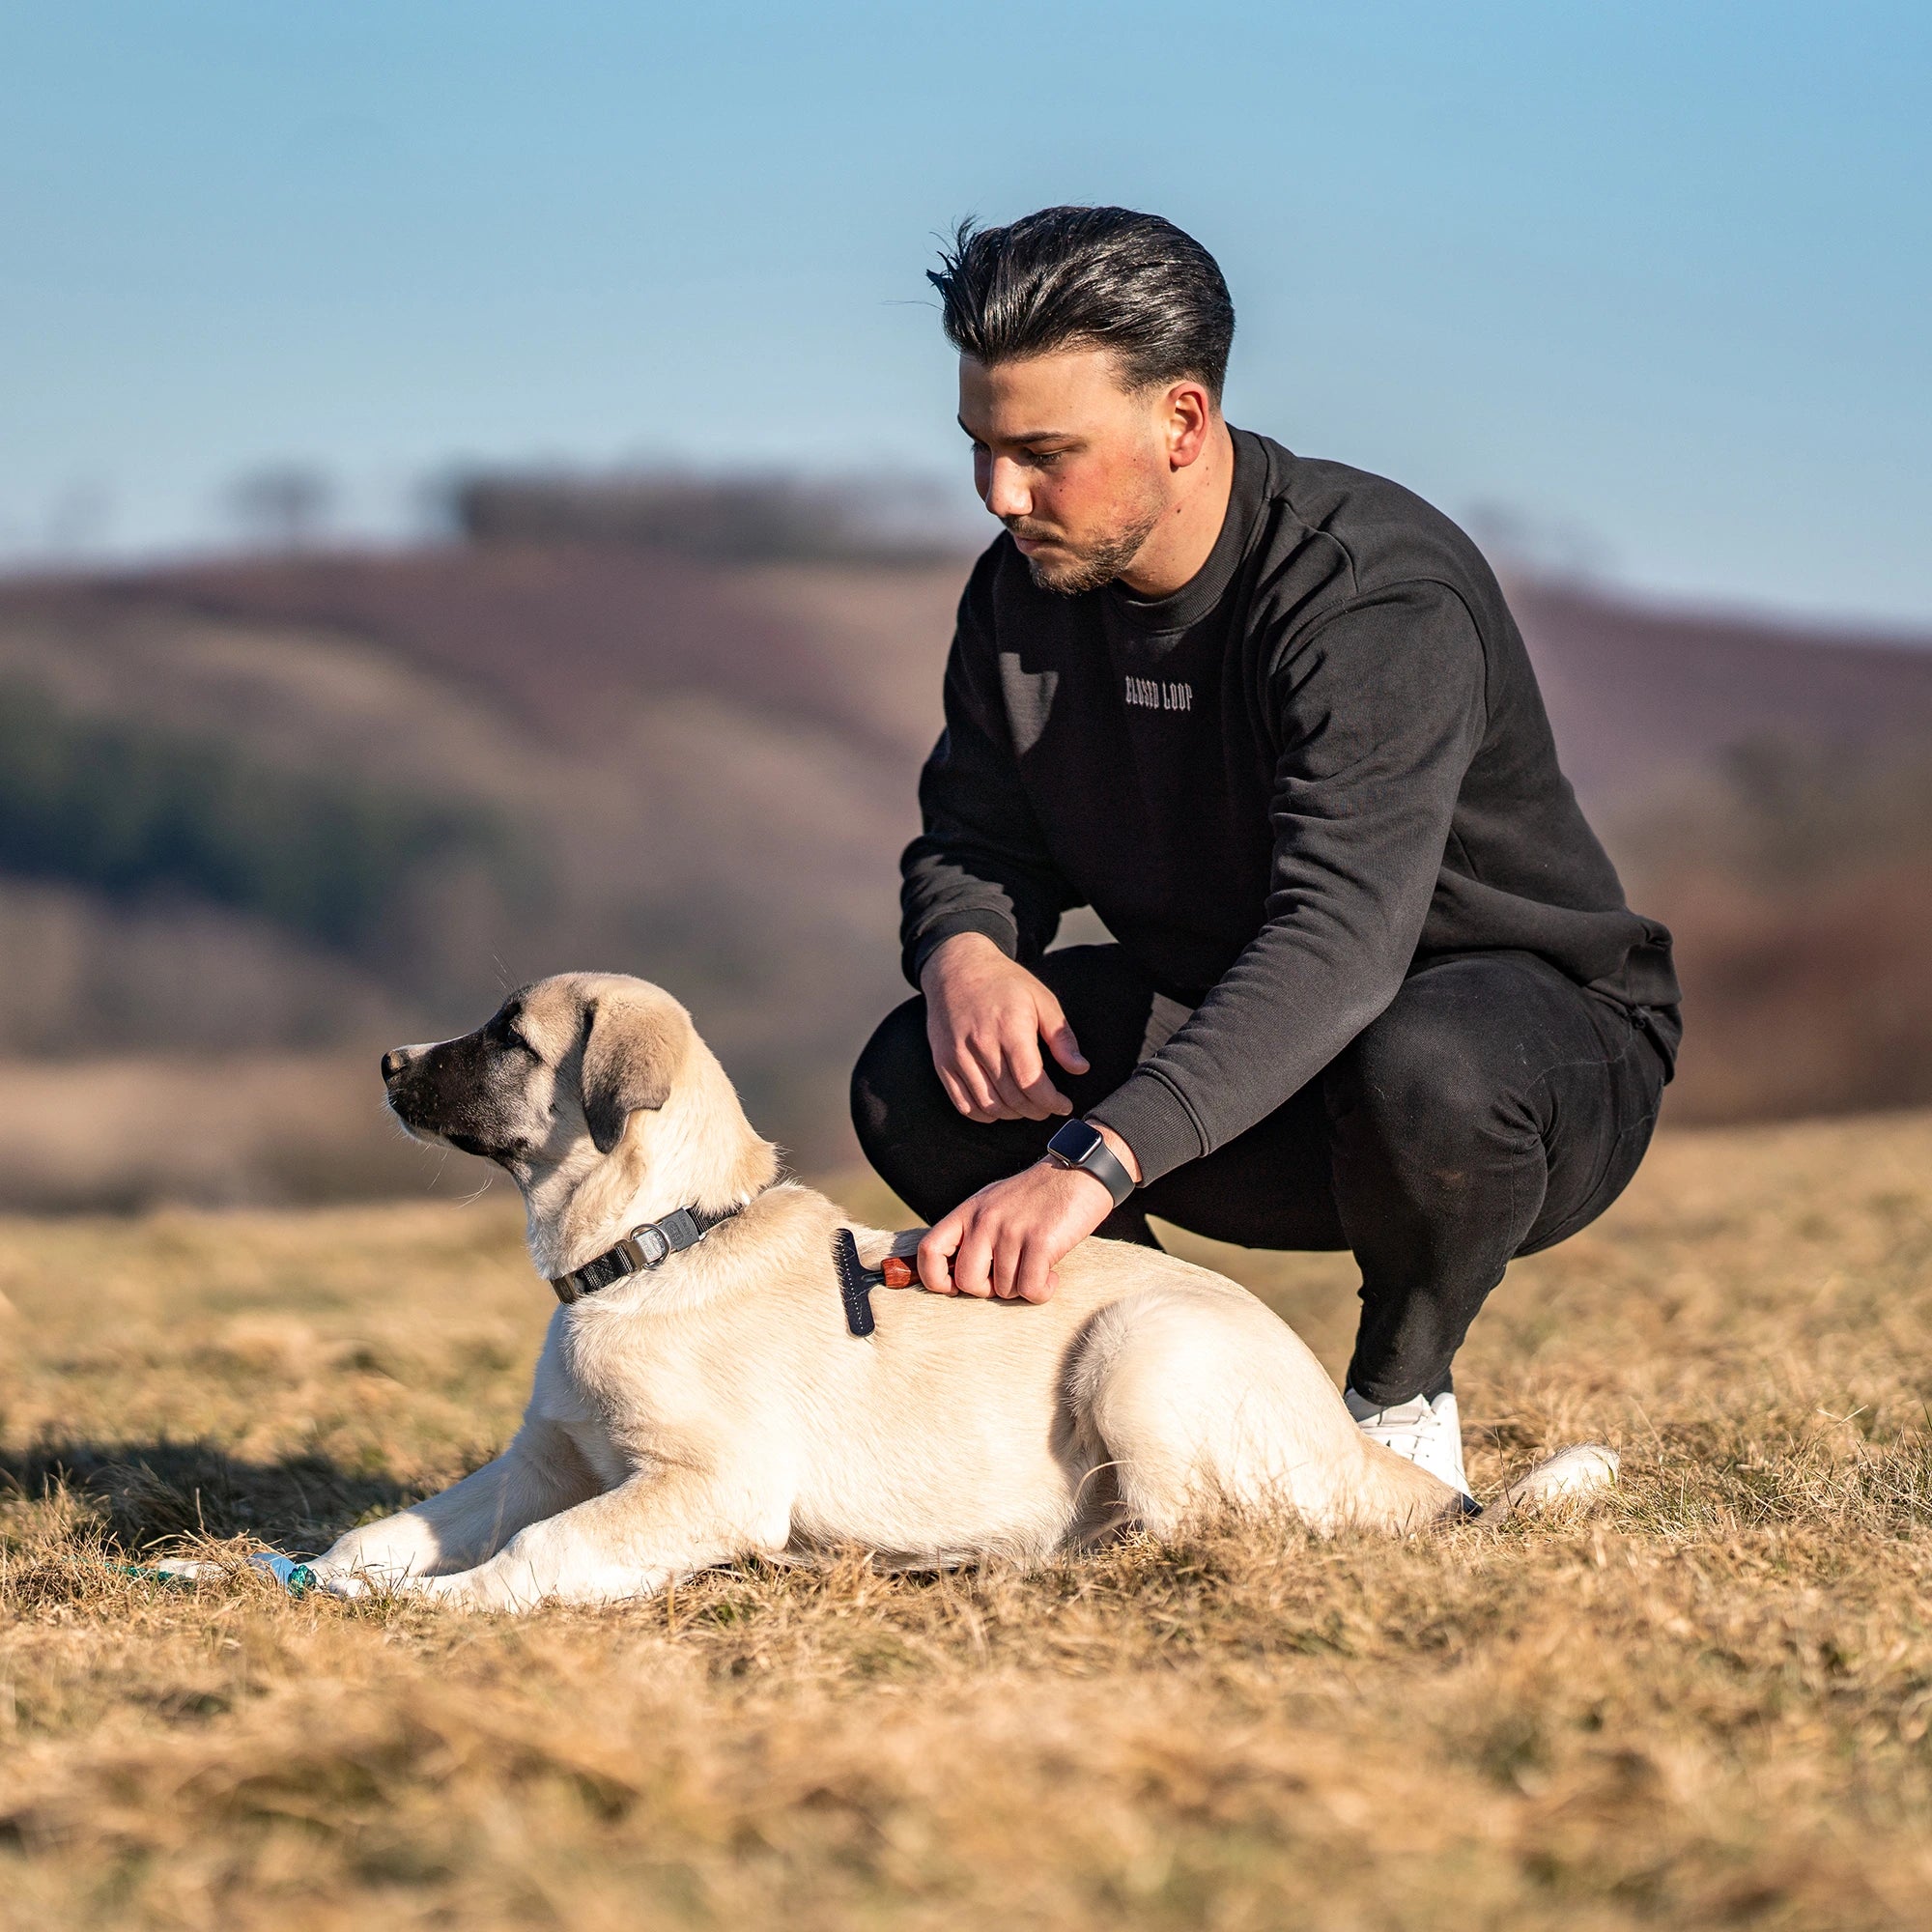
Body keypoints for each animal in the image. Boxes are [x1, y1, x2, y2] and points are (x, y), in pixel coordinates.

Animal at [317, 974, 1615, 1607]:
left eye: (507, 1036)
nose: (381, 1061)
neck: (658, 1242)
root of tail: (1364, 1456)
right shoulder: (546, 1459)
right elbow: (406, 1524)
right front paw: (327, 1576)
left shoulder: (706, 1483)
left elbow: (544, 1549)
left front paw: (451, 1605)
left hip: (1139, 1357)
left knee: (1194, 1530)